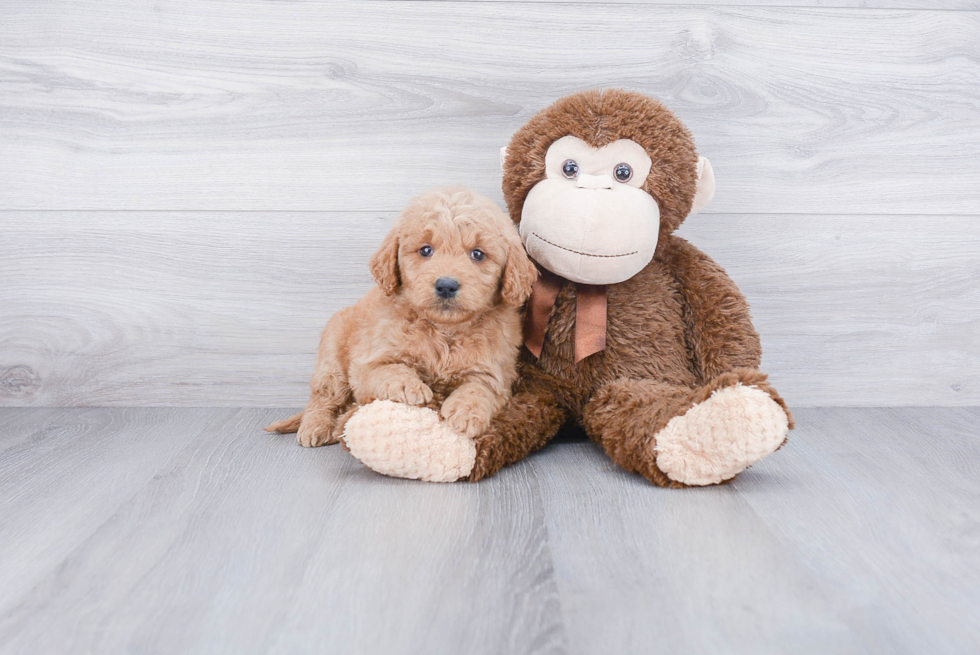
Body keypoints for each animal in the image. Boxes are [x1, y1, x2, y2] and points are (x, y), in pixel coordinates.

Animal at [264, 187, 536, 448]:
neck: (444, 330)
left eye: (478, 254)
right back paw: (316, 427)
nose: (446, 285)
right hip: (332, 359)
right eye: (426, 250)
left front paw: (466, 413)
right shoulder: (366, 364)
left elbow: (479, 389)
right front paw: (410, 386)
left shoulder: (495, 374)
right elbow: (390, 369)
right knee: (323, 397)